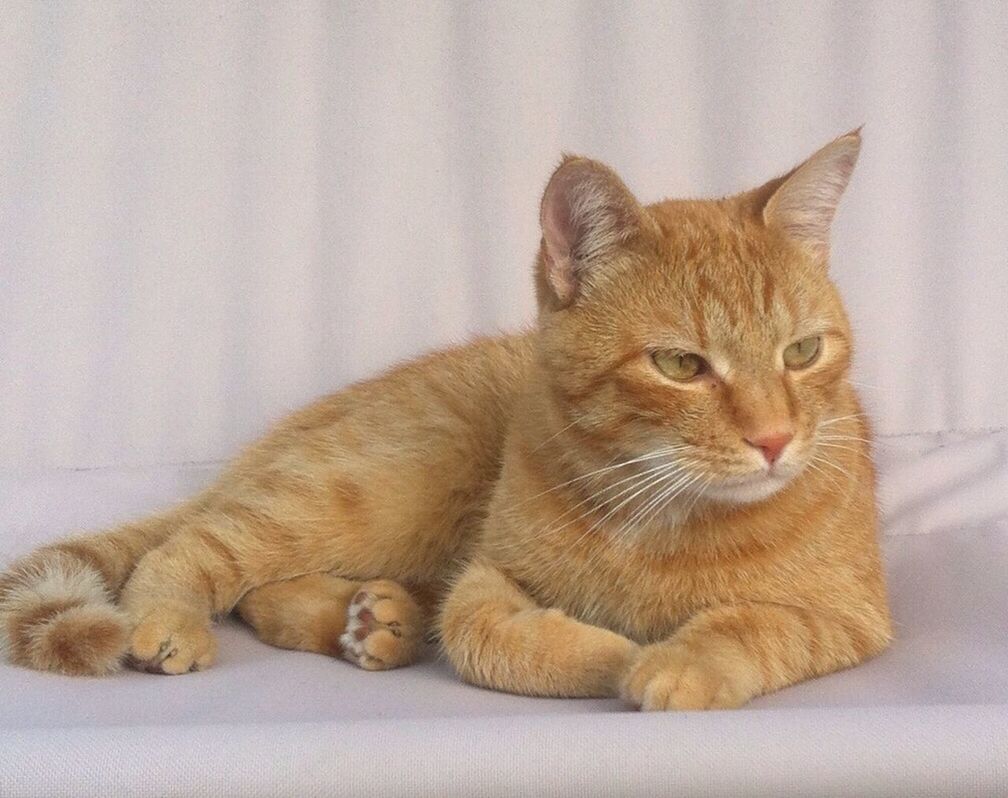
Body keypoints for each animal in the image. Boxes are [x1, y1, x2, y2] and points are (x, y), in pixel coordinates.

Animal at [0, 130, 891, 709]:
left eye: (802, 352)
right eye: (681, 366)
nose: (774, 440)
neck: (665, 519)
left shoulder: (853, 616)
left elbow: (753, 626)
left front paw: (678, 662)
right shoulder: (489, 576)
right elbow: (486, 639)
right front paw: (615, 653)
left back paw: (377, 621)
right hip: (376, 491)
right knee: (198, 550)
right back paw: (187, 616)